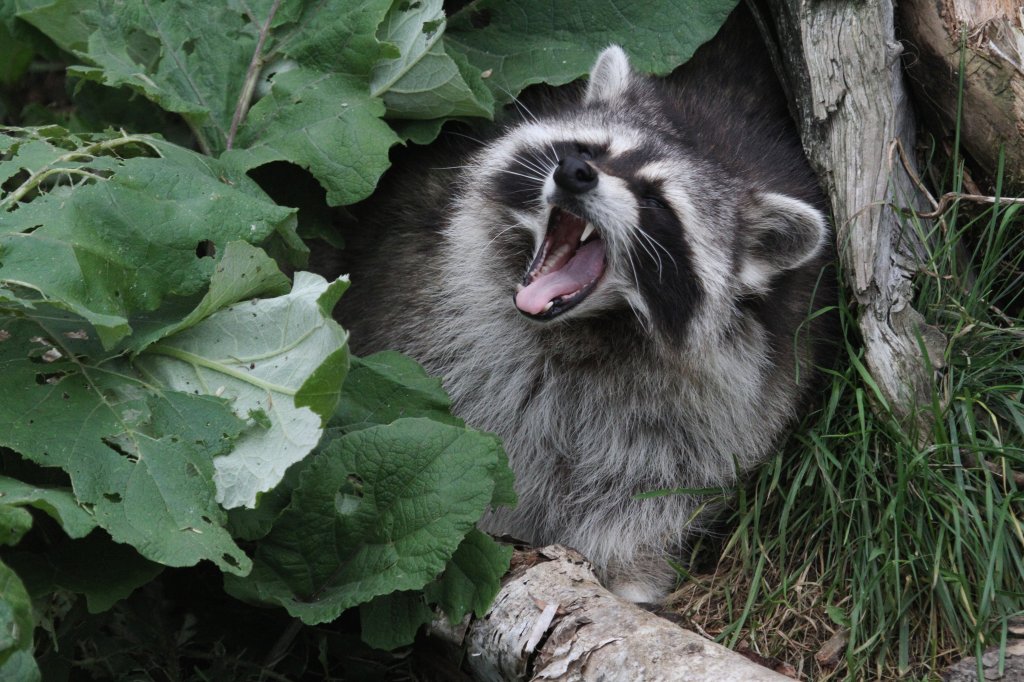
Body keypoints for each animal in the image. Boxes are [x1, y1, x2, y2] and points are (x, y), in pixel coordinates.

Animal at [331, 5, 835, 602]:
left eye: (655, 200)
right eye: (592, 151)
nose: (574, 173)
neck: (585, 330)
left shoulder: (734, 394)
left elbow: (662, 482)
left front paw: (626, 563)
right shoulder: (425, 307)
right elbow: (474, 426)